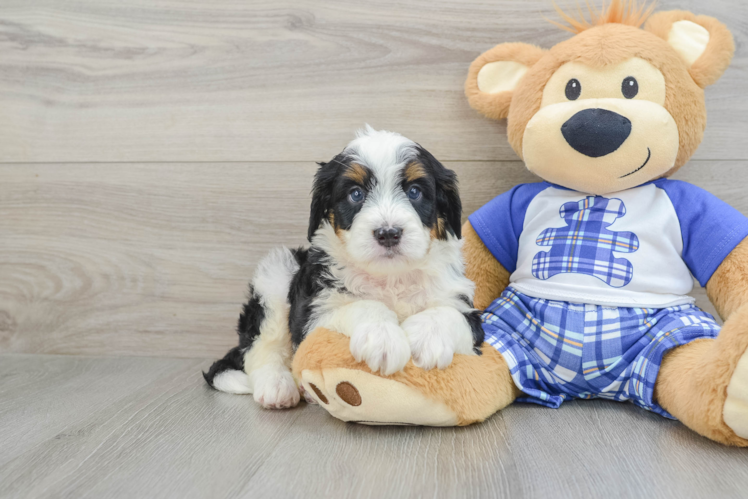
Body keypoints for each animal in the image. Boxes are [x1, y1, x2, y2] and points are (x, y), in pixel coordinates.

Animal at [205, 126, 486, 410]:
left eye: (415, 191)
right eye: (356, 194)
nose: (388, 233)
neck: (390, 277)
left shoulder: (465, 309)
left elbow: (449, 314)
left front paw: (426, 339)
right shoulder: (313, 315)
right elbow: (362, 306)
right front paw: (382, 338)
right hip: (276, 273)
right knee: (261, 346)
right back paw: (277, 386)